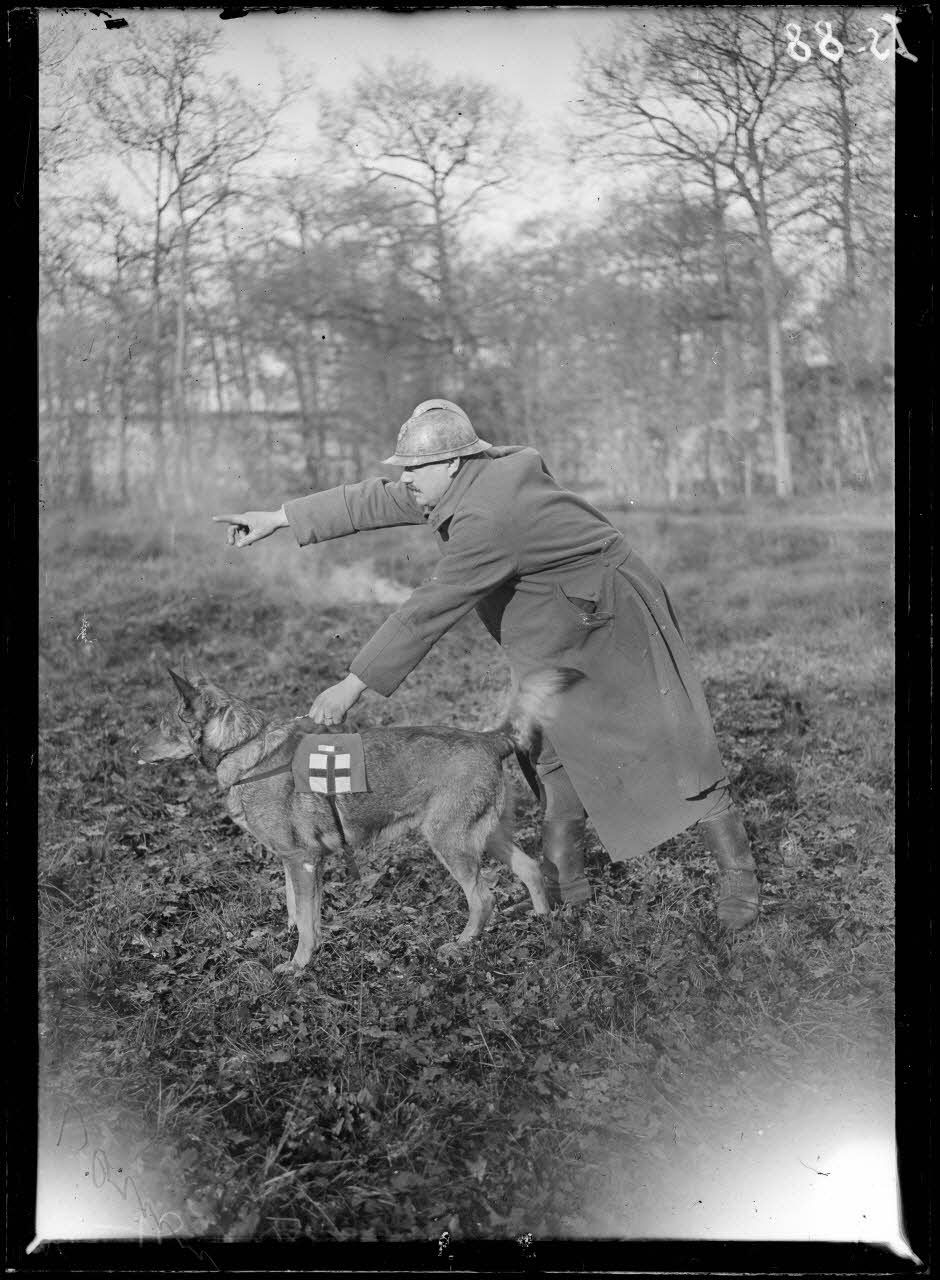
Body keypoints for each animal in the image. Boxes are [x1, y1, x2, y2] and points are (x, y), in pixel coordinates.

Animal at [129, 670, 578, 967]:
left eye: (164, 724)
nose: (131, 749)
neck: (248, 748)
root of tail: (488, 738)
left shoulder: (303, 860)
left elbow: (305, 921)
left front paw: (297, 966)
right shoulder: (297, 863)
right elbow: (299, 912)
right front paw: (301, 949)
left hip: (450, 843)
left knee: (483, 899)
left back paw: (461, 943)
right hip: (487, 836)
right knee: (531, 868)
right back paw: (542, 923)